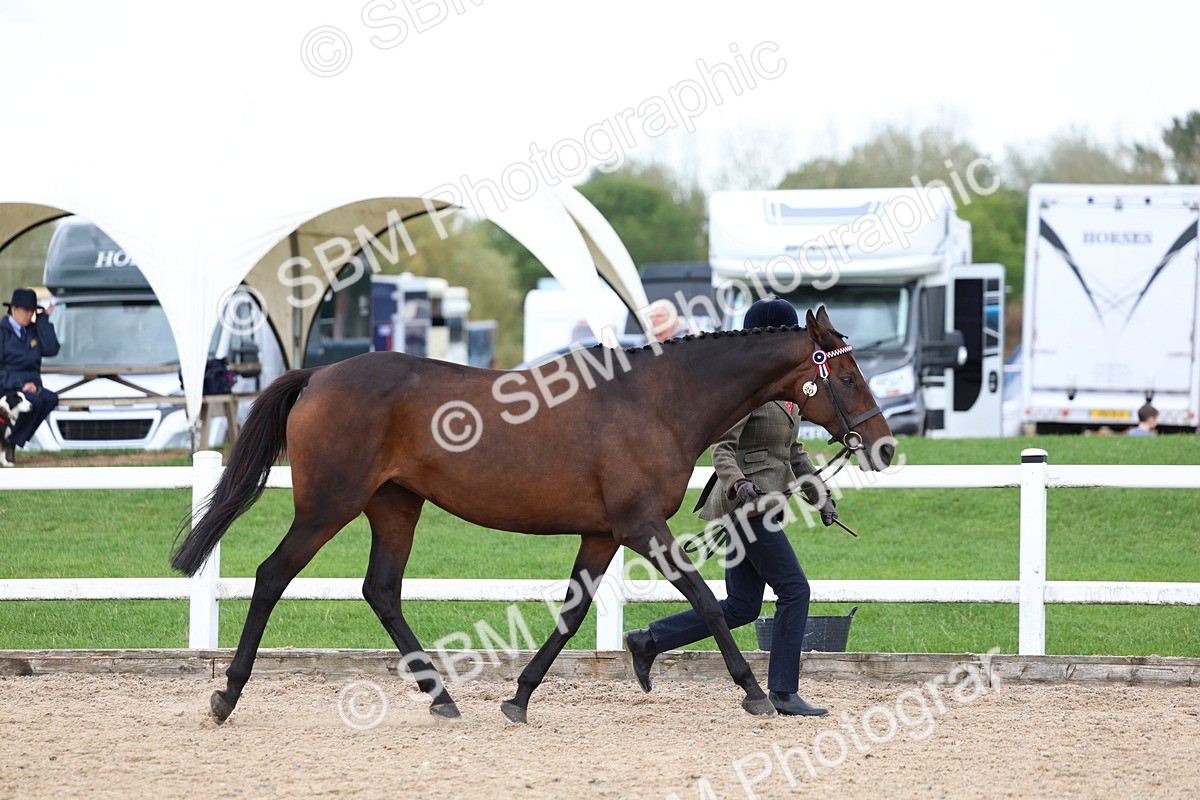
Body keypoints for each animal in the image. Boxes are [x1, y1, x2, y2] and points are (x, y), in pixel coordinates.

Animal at [171, 306, 894, 724]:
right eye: (848, 374)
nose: (883, 446)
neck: (655, 401)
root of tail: (318, 377)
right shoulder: (641, 528)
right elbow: (706, 601)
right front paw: (753, 692)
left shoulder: (602, 534)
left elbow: (573, 613)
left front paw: (518, 698)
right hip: (329, 505)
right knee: (272, 576)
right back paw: (226, 696)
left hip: (395, 506)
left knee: (381, 591)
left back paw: (444, 699)